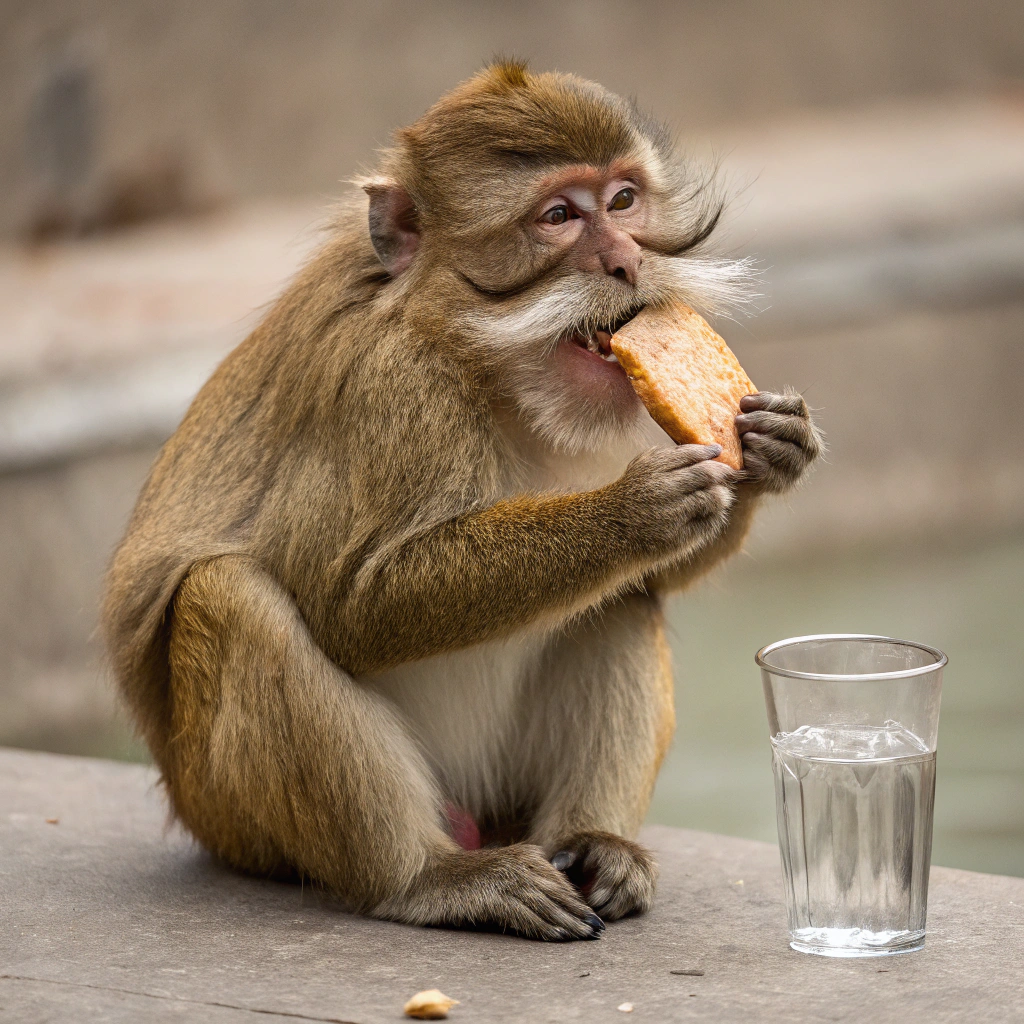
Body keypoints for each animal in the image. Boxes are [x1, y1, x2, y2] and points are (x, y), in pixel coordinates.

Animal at [102, 62, 821, 942]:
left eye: (622, 200)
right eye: (559, 216)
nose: (625, 261)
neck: (488, 365)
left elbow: (653, 575)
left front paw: (775, 450)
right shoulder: (388, 388)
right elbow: (354, 603)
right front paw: (631, 514)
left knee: (620, 600)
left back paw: (595, 845)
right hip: (233, 820)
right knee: (230, 596)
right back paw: (426, 878)